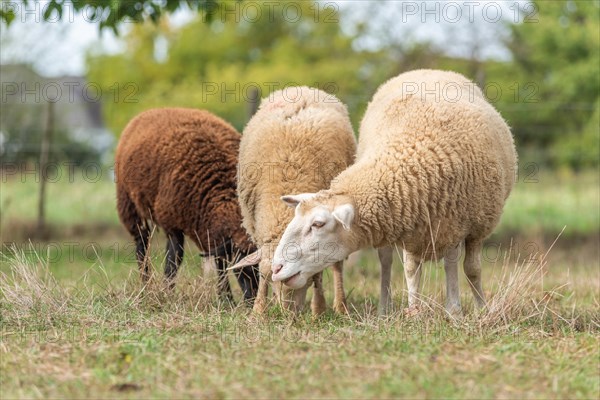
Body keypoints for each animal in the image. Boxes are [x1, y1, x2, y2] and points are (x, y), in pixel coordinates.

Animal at [116, 108, 258, 302]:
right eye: (240, 269)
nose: (252, 301)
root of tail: (153, 111)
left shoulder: (213, 234)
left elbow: (219, 262)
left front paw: (225, 300)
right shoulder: (171, 223)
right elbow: (174, 259)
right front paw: (167, 293)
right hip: (129, 206)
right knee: (141, 246)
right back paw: (146, 287)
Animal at [270, 70, 516, 318]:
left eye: (318, 224)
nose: (276, 268)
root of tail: (428, 70)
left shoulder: (467, 227)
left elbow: (468, 269)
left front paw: (469, 311)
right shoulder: (418, 227)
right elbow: (412, 269)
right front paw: (417, 311)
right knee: (390, 263)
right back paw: (385, 308)